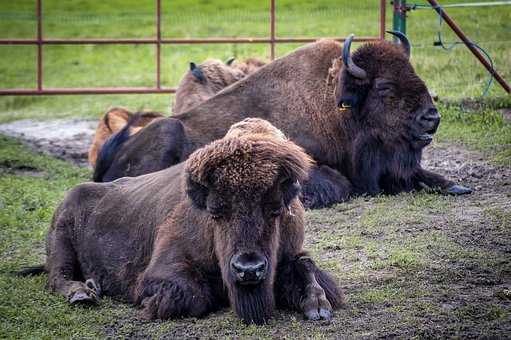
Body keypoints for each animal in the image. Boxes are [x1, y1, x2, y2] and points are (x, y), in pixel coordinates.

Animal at [93, 33, 472, 207]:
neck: (336, 105)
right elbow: (340, 185)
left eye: (414, 73)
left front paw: (455, 185)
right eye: (385, 88)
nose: (431, 118)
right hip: (169, 129)